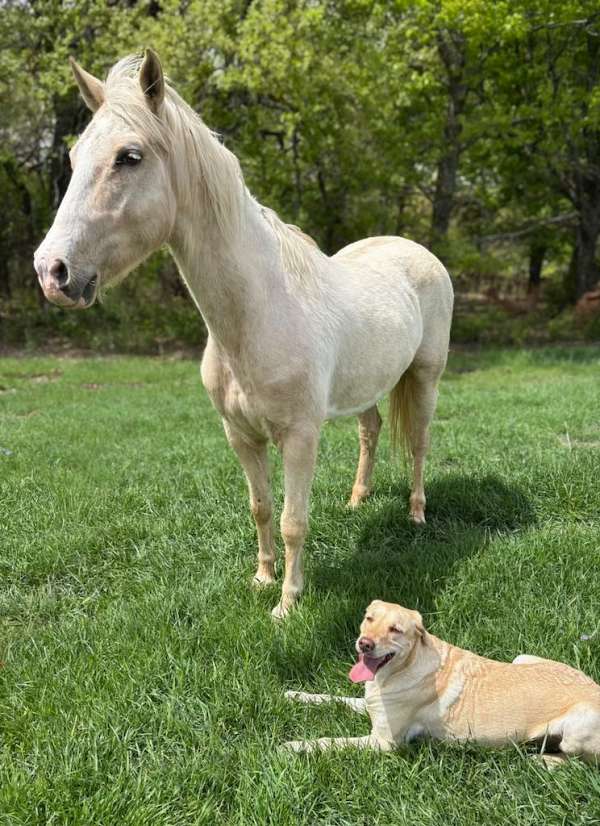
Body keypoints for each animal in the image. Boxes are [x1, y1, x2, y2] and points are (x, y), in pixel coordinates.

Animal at [34, 50, 453, 619]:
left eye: (129, 157)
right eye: (75, 157)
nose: (52, 272)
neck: (258, 313)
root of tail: (414, 249)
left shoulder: (300, 437)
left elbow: (294, 520)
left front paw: (288, 604)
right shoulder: (240, 435)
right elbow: (260, 507)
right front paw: (262, 579)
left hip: (426, 378)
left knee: (419, 442)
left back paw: (415, 514)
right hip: (367, 385)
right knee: (371, 430)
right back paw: (357, 500)